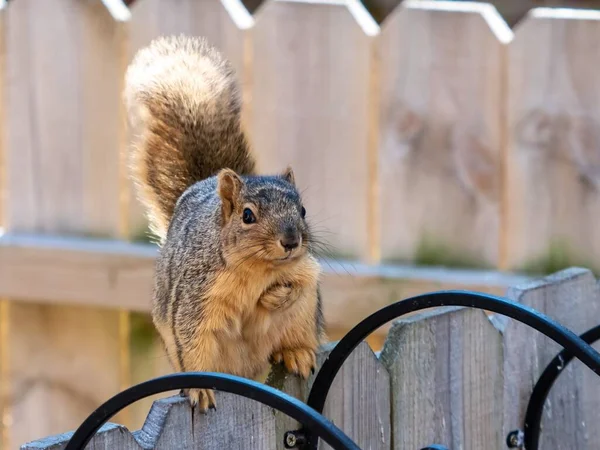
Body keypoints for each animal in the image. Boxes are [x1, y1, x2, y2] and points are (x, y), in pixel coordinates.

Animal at [123, 34, 326, 412]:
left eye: (303, 210)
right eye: (247, 215)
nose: (291, 241)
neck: (258, 269)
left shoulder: (306, 269)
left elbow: (299, 284)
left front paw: (275, 297)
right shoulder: (197, 296)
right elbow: (195, 338)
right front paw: (201, 389)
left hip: (304, 318)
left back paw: (295, 352)